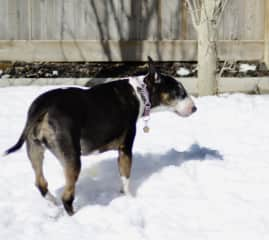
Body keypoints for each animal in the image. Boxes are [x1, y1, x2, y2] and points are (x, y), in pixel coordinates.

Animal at [5, 56, 196, 216]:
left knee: (41, 184)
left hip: (34, 150)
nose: (195, 108)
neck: (141, 93)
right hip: (72, 158)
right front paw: (129, 199)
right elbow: (126, 178)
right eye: (179, 92)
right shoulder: (125, 149)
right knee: (67, 196)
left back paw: (52, 202)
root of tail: (43, 106)